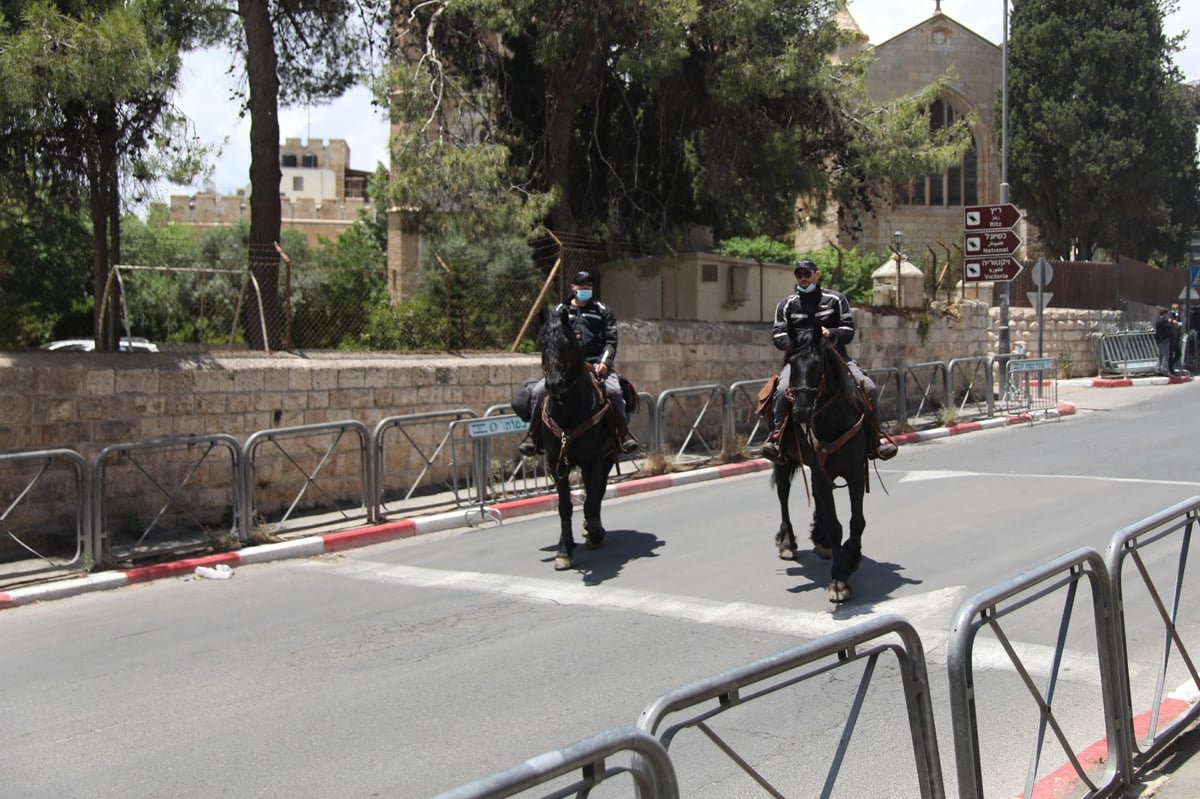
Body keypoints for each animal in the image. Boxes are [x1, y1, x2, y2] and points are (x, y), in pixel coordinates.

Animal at [544, 303, 619, 566]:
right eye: (543, 344)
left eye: (567, 344)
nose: (553, 384)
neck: (570, 410)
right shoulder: (556, 462)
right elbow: (565, 506)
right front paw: (564, 549)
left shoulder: (594, 460)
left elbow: (591, 501)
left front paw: (595, 533)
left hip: (606, 459)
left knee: (597, 493)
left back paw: (593, 529)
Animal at [772, 321, 868, 597]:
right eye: (792, 362)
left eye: (818, 364)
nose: (801, 411)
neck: (833, 421)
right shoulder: (823, 473)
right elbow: (837, 526)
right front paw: (839, 580)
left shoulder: (856, 472)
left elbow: (857, 521)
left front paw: (852, 556)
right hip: (783, 461)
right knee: (783, 494)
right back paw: (788, 542)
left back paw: (820, 539)